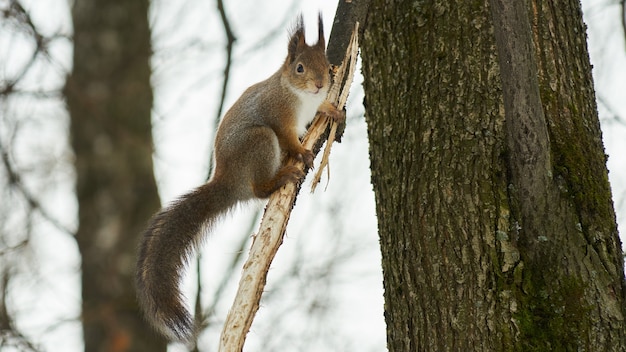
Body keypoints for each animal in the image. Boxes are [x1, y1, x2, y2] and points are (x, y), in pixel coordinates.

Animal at [134, 13, 344, 340]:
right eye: (299, 68)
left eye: (325, 63)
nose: (320, 84)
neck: (295, 93)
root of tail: (228, 182)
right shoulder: (279, 115)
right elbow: (289, 137)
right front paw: (303, 152)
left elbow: (320, 110)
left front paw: (332, 110)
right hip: (259, 141)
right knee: (259, 189)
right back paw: (281, 176)